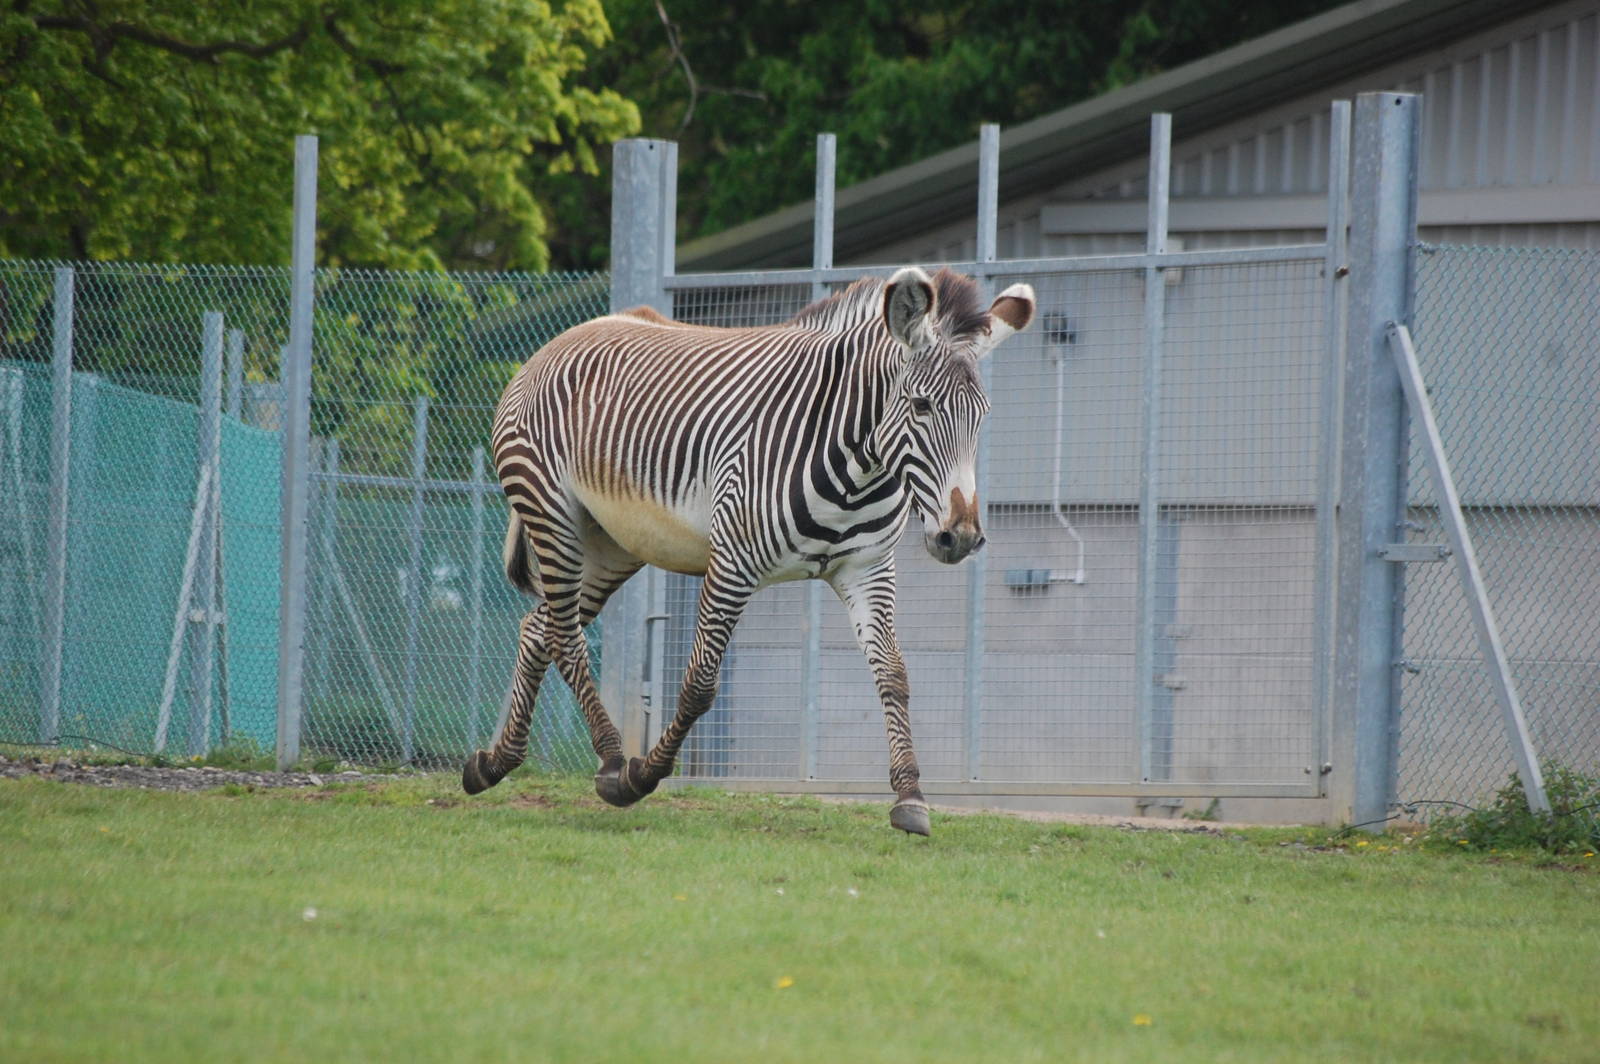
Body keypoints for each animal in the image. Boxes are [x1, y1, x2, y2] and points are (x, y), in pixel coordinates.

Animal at [462, 266, 1035, 835]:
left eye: (981, 416)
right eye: (921, 406)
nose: (961, 537)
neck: (855, 467)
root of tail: (567, 335)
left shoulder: (868, 569)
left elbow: (894, 674)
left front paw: (911, 797)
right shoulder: (733, 562)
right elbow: (699, 684)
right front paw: (641, 776)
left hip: (614, 542)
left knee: (539, 627)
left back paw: (494, 763)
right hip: (552, 514)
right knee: (564, 635)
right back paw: (609, 760)